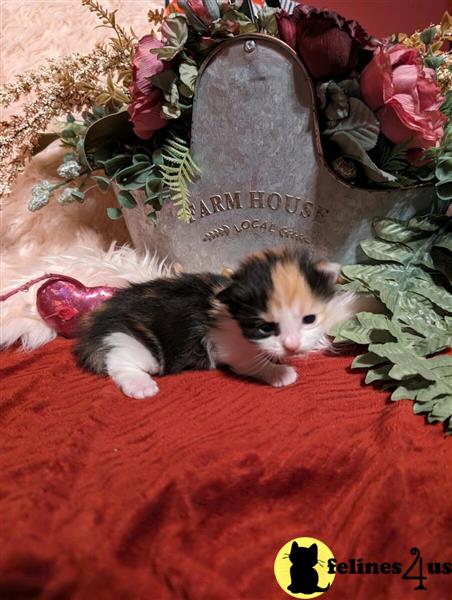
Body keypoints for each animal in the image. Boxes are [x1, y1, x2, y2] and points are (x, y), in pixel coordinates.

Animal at [75, 246, 356, 396]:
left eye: (309, 319)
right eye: (265, 328)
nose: (292, 346)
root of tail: (94, 325)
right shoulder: (228, 345)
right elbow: (249, 362)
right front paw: (279, 372)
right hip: (132, 342)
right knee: (119, 362)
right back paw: (140, 384)